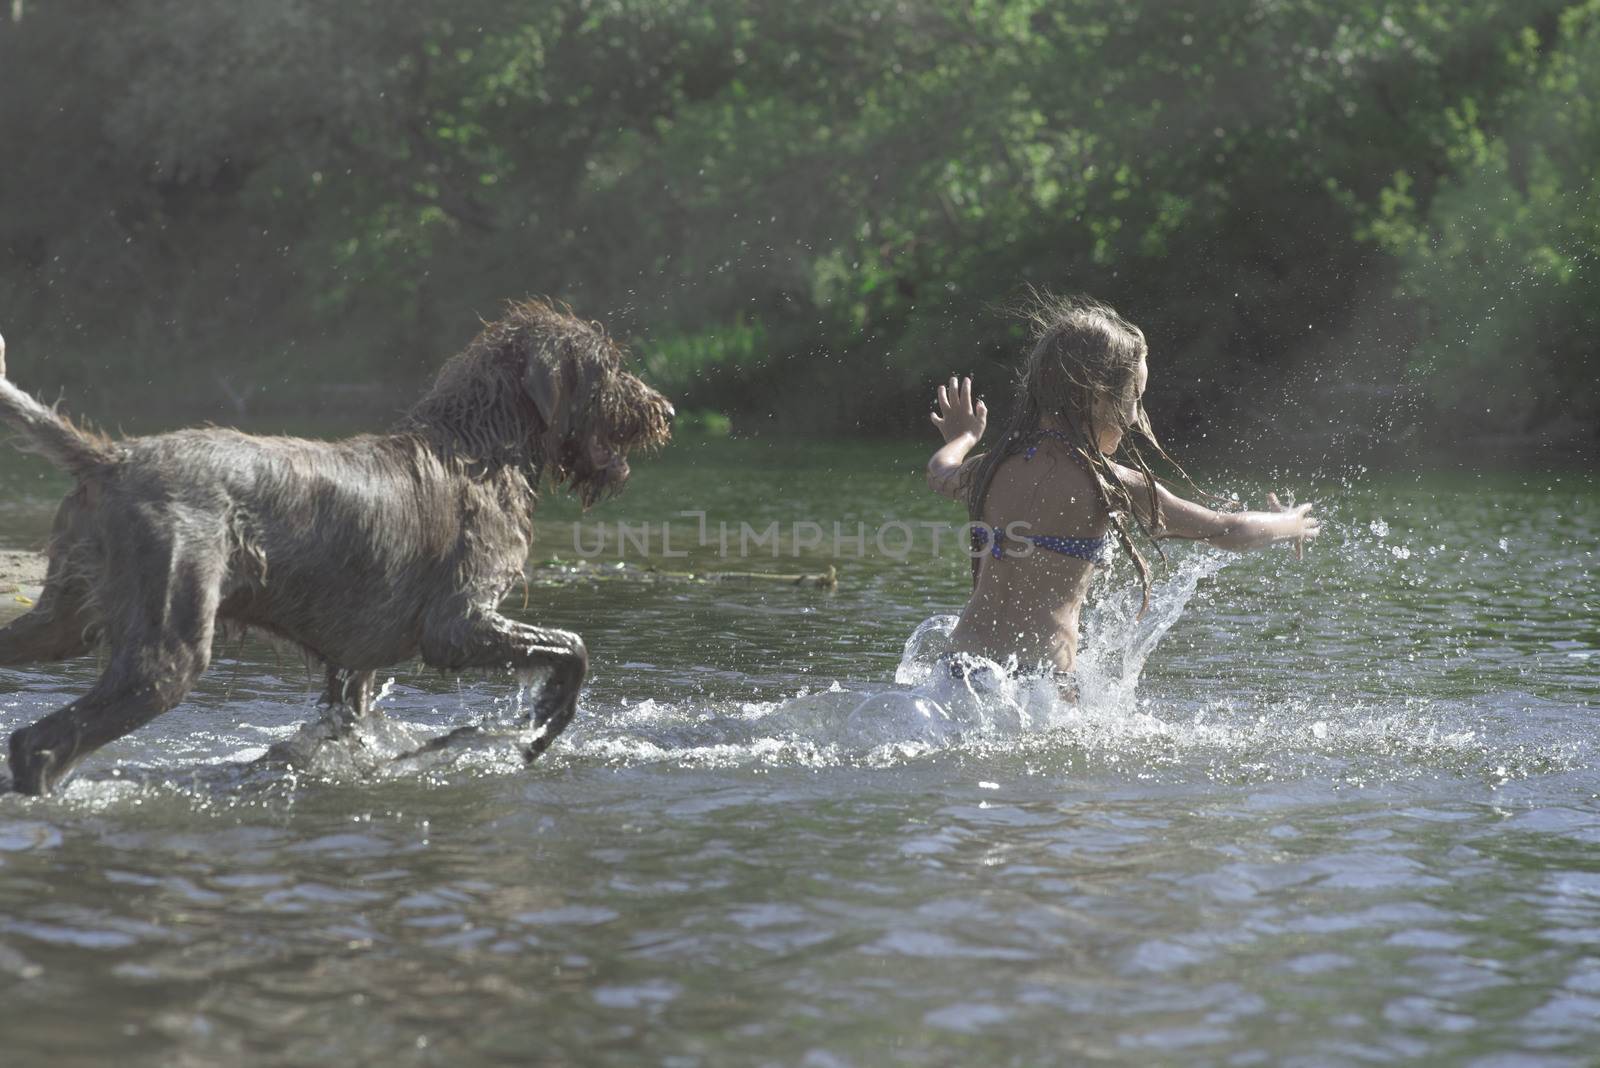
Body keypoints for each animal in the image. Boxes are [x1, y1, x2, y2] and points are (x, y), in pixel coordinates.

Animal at [0, 300, 675, 793]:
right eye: (609, 368)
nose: (665, 409)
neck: (483, 447)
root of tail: (110, 458)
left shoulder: (354, 662)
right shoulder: (457, 623)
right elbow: (572, 648)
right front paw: (540, 720)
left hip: (63, 619)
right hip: (167, 644)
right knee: (39, 744)